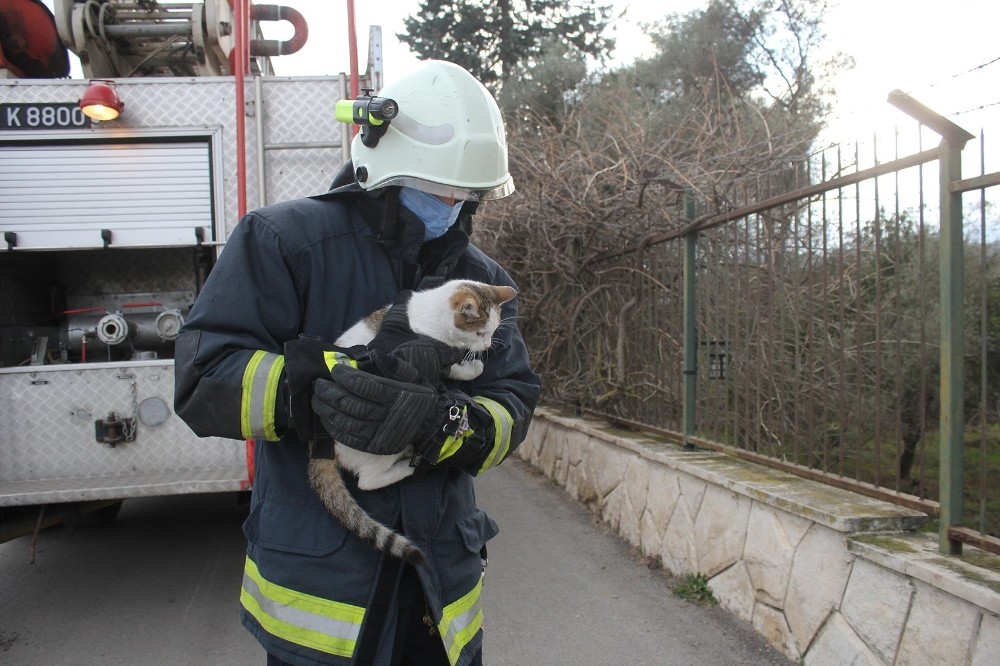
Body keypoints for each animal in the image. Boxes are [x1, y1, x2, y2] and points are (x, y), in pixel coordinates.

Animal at [308, 278, 520, 564]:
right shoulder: (430, 348)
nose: (486, 347)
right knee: (368, 480)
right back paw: (411, 465)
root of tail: (317, 444)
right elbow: (453, 366)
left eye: (492, 331)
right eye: (479, 333)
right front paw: (472, 367)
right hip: (381, 446)